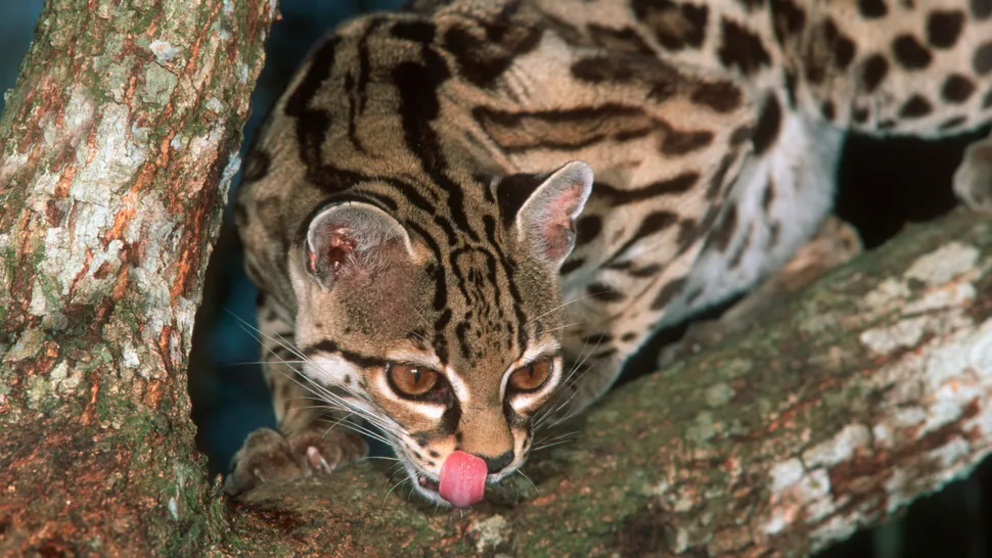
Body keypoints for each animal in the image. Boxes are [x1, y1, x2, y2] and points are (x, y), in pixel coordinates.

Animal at [225, 0, 992, 508]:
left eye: (530, 374)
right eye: (416, 381)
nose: (491, 461)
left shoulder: (702, 118)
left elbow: (636, 281)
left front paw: (580, 367)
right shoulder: (262, 250)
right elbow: (283, 352)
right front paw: (305, 433)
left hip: (868, 52)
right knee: (838, 232)